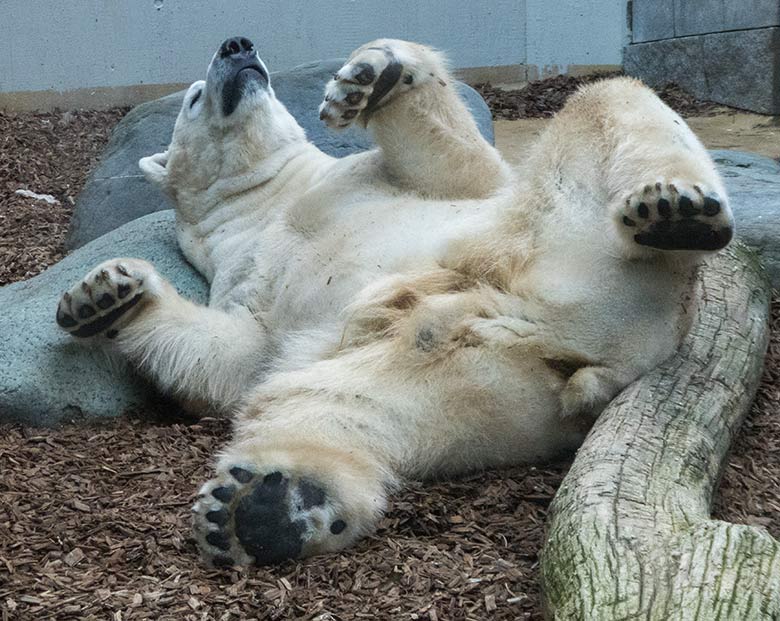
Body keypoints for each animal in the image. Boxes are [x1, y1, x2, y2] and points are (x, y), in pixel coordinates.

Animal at [54, 36, 732, 564]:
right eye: (195, 96)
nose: (237, 47)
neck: (265, 204)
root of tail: (597, 354)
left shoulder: (369, 181)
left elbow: (460, 169)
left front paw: (369, 76)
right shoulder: (242, 279)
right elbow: (237, 360)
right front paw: (102, 295)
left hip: (558, 235)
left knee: (608, 100)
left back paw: (675, 212)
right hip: (477, 381)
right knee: (329, 405)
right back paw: (267, 510)